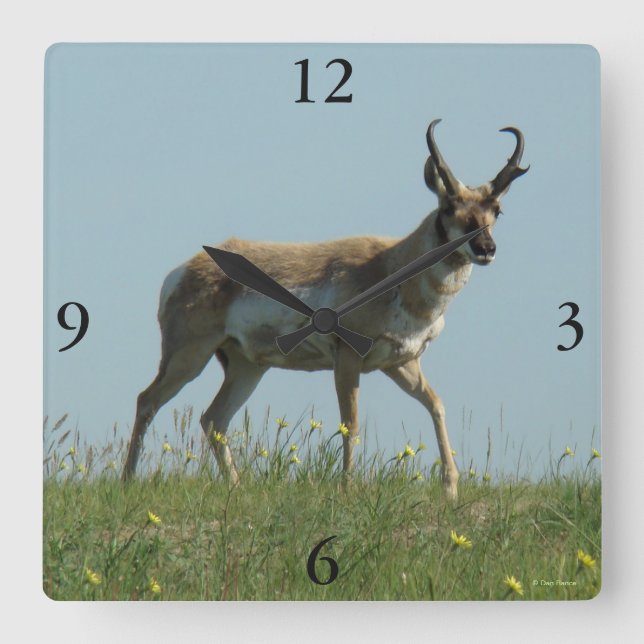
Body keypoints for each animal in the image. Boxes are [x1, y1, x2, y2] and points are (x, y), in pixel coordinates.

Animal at [122, 119, 528, 499]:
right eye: (448, 207)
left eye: (497, 210)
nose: (485, 248)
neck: (392, 267)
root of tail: (183, 270)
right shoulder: (348, 358)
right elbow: (352, 423)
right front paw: (348, 488)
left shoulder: (401, 363)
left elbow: (437, 405)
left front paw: (450, 488)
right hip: (189, 356)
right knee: (148, 400)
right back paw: (128, 480)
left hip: (246, 366)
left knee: (212, 419)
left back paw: (235, 487)